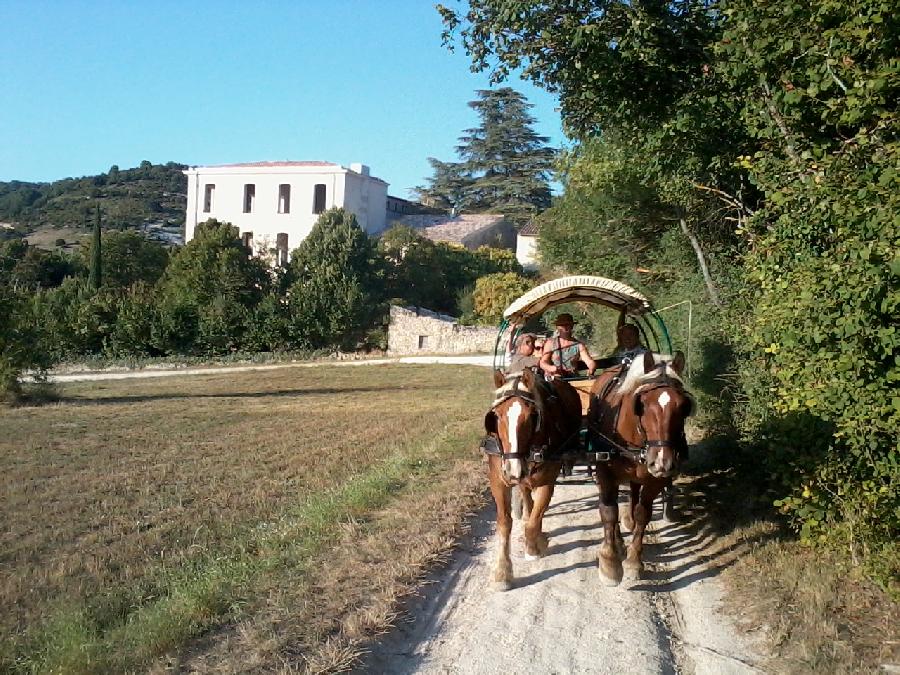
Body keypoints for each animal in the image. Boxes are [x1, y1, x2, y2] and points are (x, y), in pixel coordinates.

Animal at [482, 368, 580, 588]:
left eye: (532, 416)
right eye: (496, 416)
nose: (512, 470)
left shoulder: (547, 481)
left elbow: (535, 520)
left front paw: (534, 547)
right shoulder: (498, 480)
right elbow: (504, 523)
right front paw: (502, 572)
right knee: (526, 496)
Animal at [588, 354, 692, 588]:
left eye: (684, 406)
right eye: (641, 405)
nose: (662, 462)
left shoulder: (655, 480)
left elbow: (643, 514)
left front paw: (634, 562)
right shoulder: (605, 473)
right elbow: (608, 512)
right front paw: (610, 563)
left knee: (634, 492)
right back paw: (617, 542)